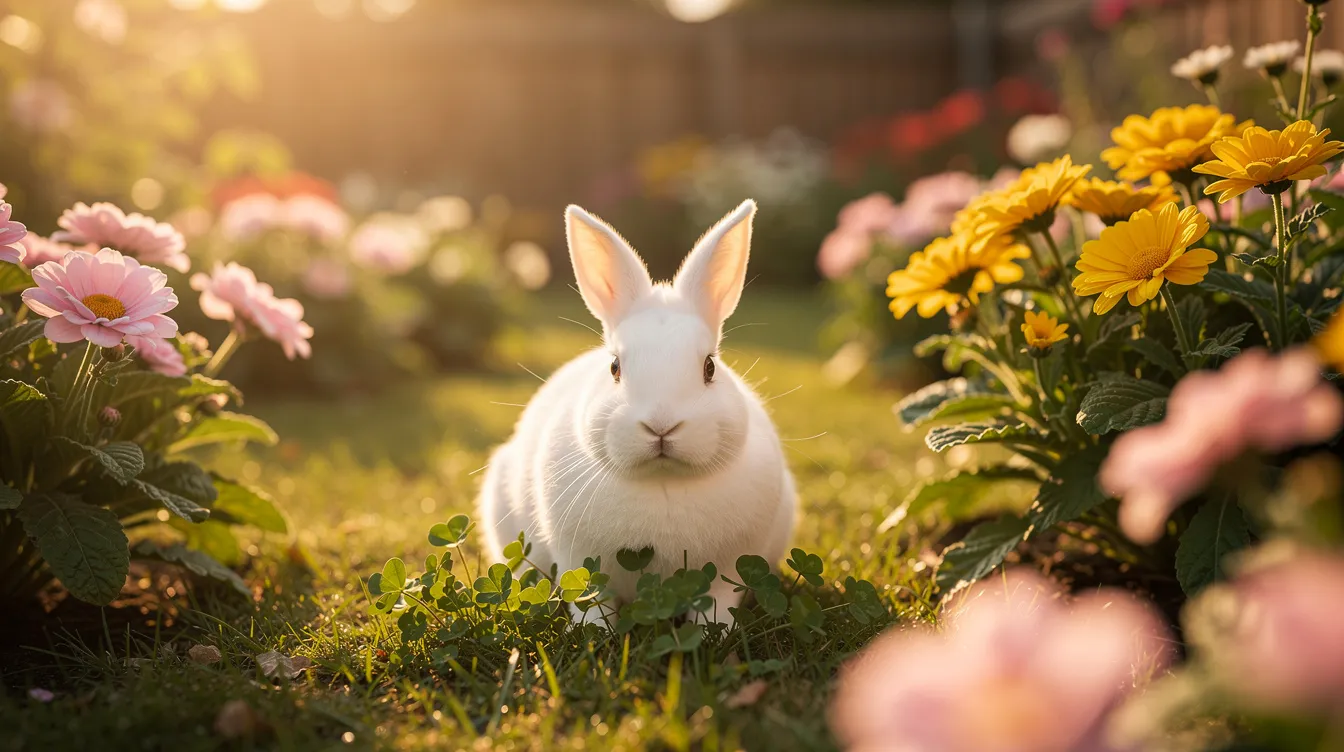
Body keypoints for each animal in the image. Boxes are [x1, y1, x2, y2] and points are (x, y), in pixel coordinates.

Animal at [478, 199, 796, 627]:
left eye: (710, 367)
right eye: (614, 367)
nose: (661, 425)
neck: (662, 482)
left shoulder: (727, 572)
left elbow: (717, 607)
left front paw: (714, 633)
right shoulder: (578, 560)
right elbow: (590, 602)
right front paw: (598, 635)